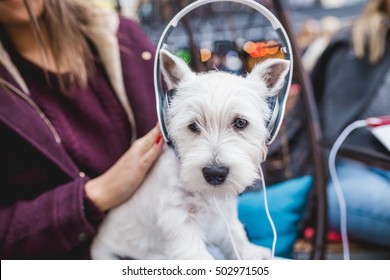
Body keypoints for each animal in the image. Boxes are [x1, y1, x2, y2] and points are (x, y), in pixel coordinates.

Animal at [91, 48, 290, 260]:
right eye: (193, 126)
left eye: (240, 123)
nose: (214, 173)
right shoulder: (179, 216)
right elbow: (196, 254)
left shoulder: (224, 214)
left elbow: (235, 233)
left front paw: (250, 253)